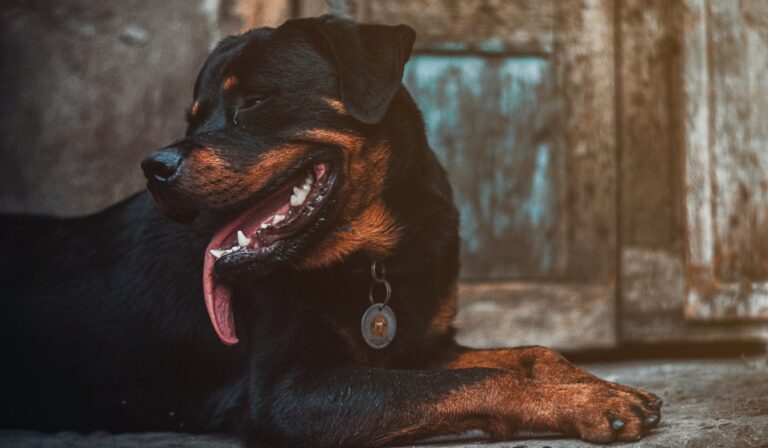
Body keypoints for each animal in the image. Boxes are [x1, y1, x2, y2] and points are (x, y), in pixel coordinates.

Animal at [0, 14, 660, 448]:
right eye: (193, 117)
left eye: (254, 102)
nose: (154, 166)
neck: (377, 254)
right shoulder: (287, 394)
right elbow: (476, 379)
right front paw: (586, 401)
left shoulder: (417, 343)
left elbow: (527, 353)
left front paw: (593, 382)